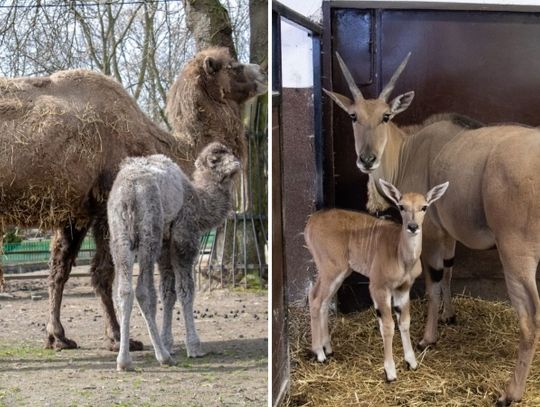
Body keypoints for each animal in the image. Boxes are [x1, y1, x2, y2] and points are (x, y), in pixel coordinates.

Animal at [322, 52, 540, 406]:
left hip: (516, 254)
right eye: (354, 116)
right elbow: (449, 270)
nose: (366, 159)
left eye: (385, 116)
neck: (410, 148)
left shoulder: (430, 231)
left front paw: (427, 339)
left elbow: (433, 281)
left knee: (530, 318)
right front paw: (450, 317)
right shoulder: (448, 235)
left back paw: (510, 393)